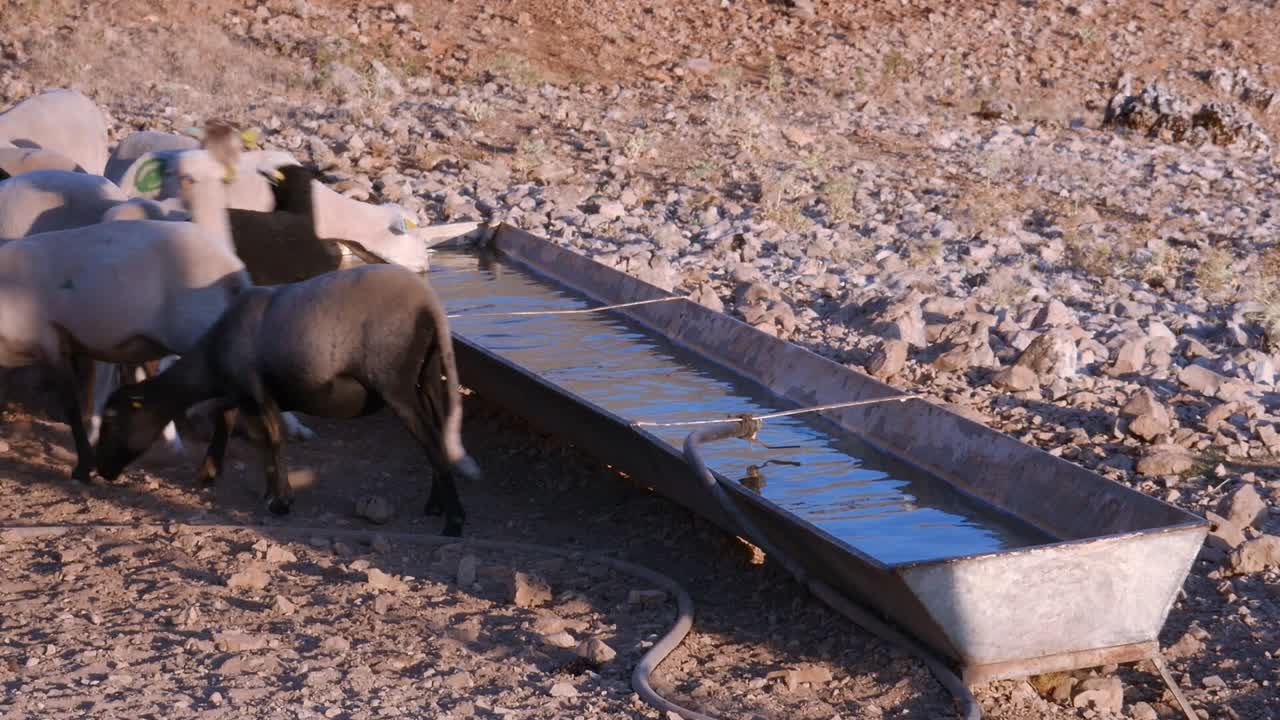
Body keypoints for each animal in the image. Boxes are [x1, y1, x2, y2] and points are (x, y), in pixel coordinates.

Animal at [94, 264, 481, 536]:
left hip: (394, 381)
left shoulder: (256, 388)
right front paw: (213, 472)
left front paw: (279, 500)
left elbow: (272, 438)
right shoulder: (242, 391)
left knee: (430, 441)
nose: (101, 471)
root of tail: (429, 304)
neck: (212, 358)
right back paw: (436, 506)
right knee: (436, 435)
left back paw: (455, 522)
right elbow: (232, 423)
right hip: (427, 376)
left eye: (113, 418)